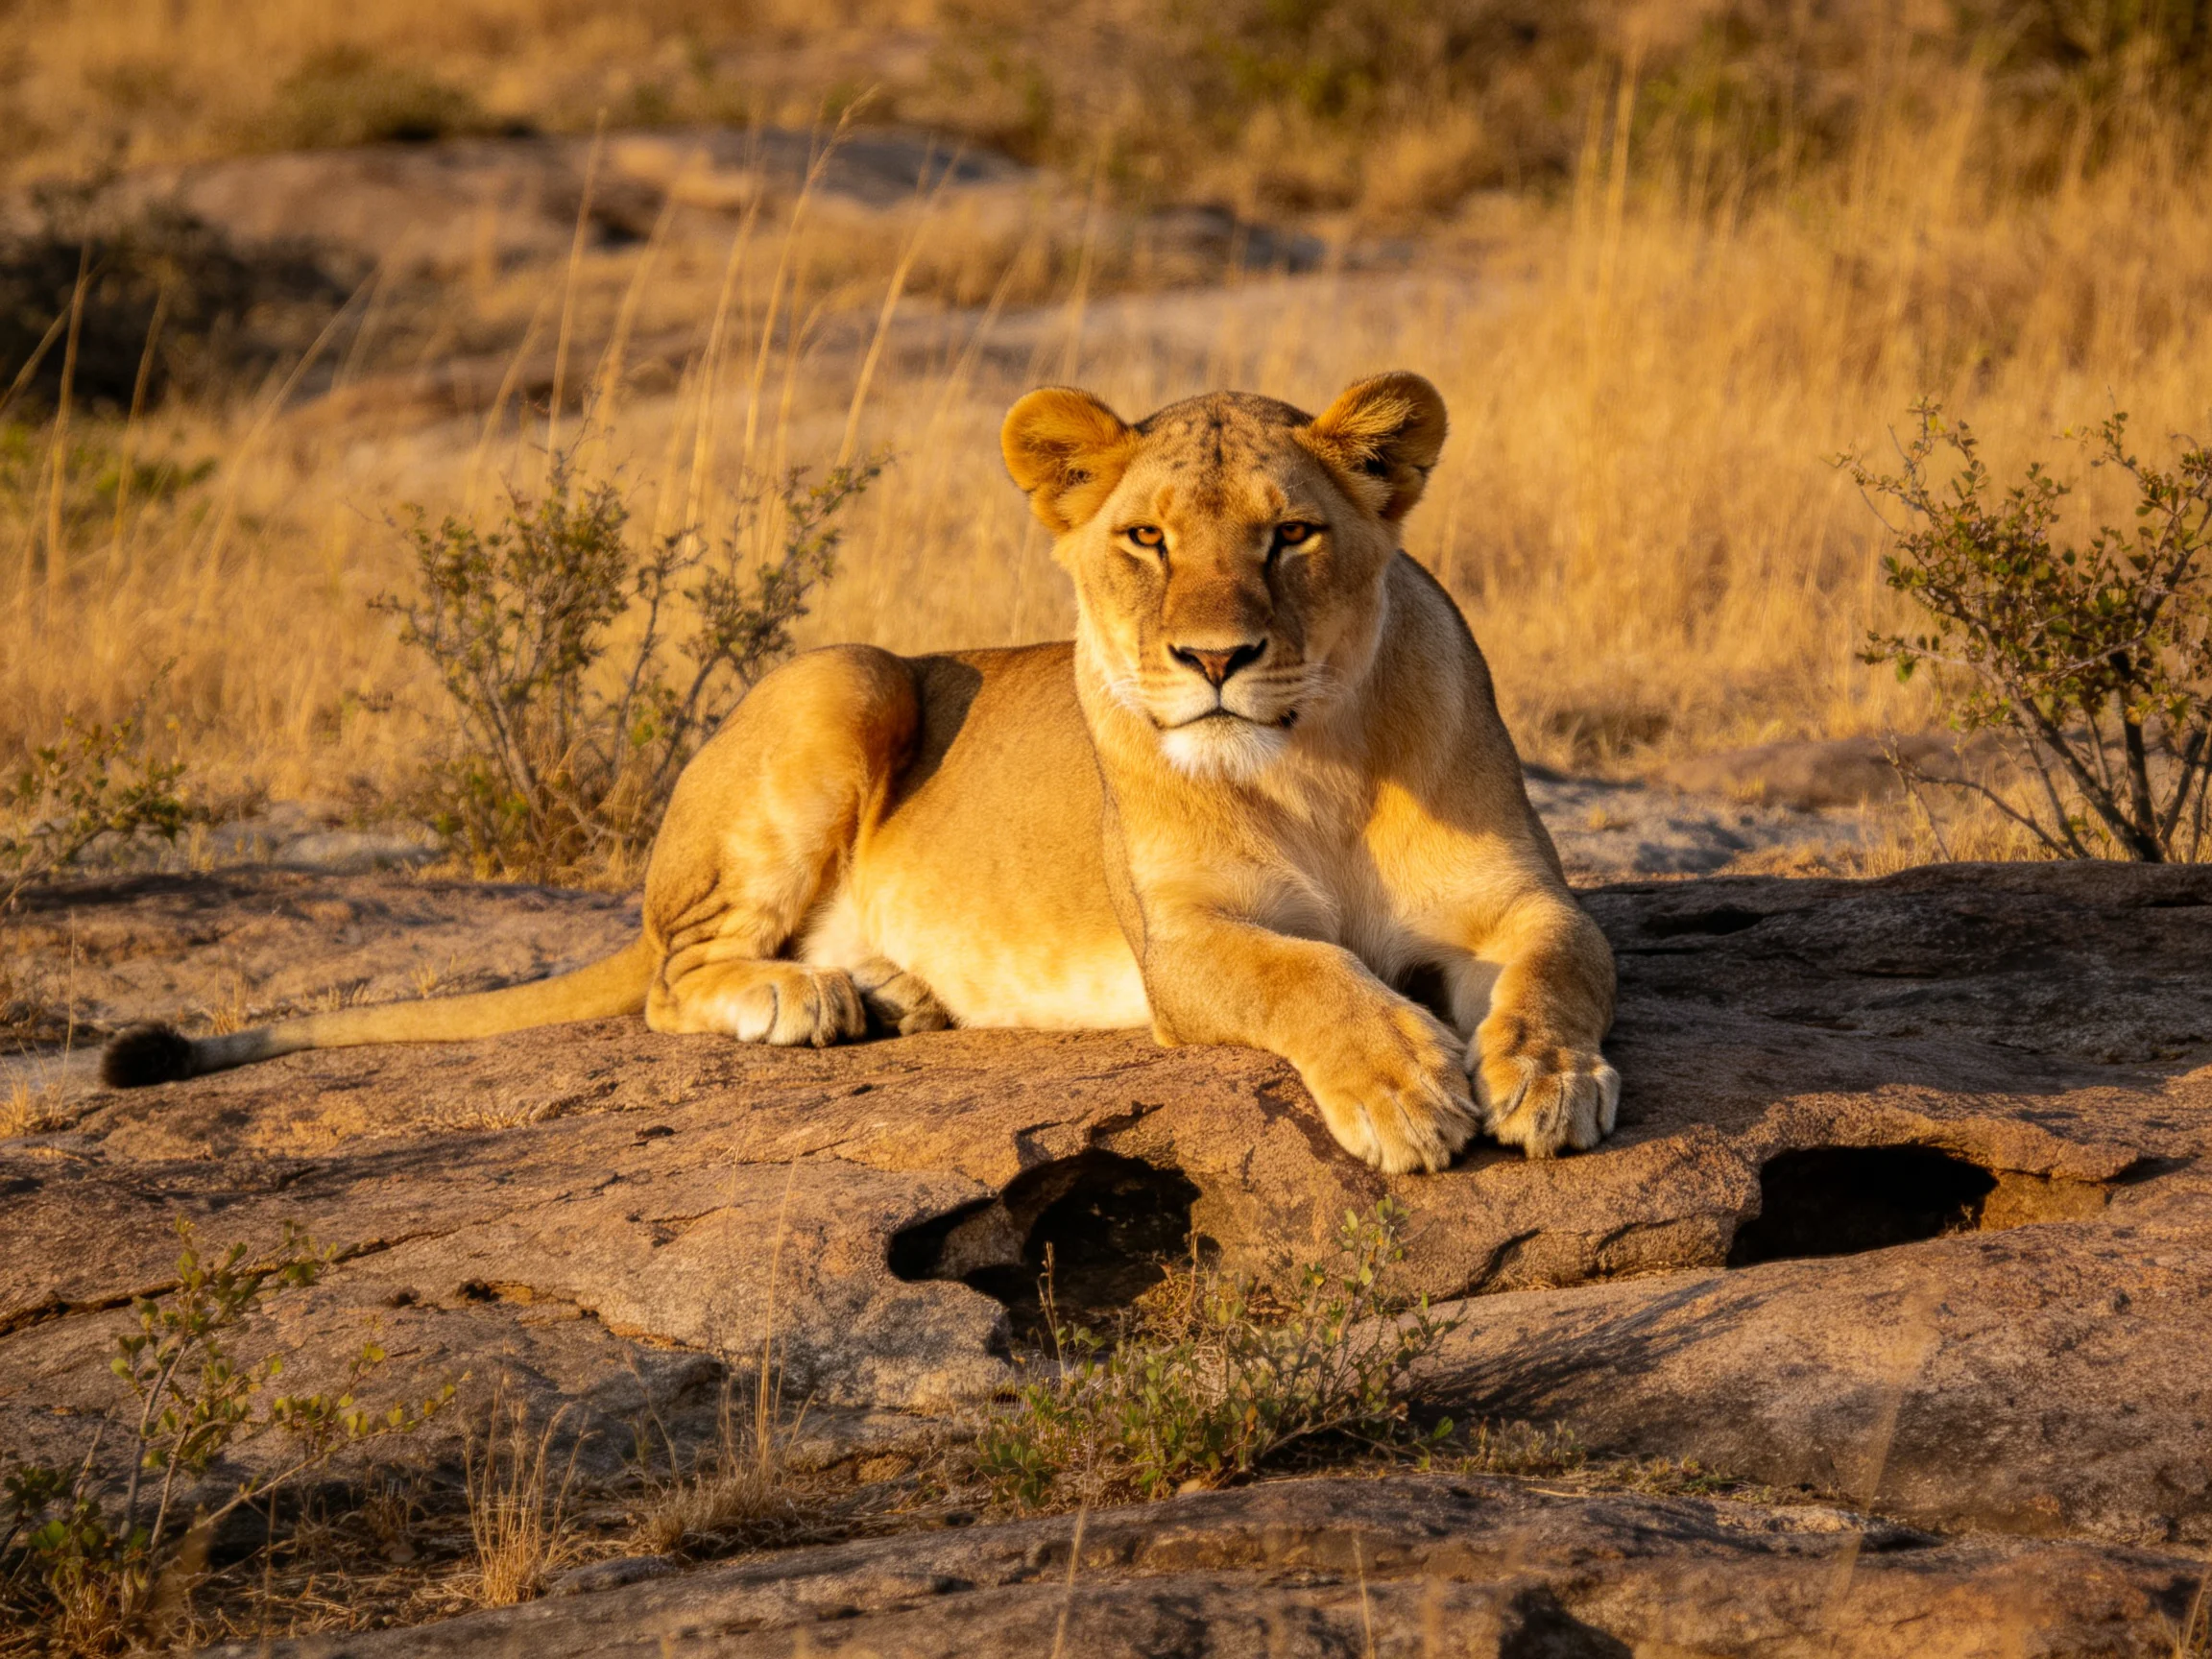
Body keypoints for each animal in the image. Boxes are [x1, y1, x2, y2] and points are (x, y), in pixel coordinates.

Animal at [102, 373, 1619, 1170]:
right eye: (1143, 539)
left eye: (1293, 533)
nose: (1215, 659)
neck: (1314, 761)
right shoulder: (1182, 947)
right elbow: (1306, 977)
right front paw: (1406, 1090)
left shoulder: (1524, 897)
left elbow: (1564, 966)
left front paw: (1548, 1080)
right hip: (845, 675)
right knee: (668, 982)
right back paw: (811, 1000)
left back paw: (890, 992)